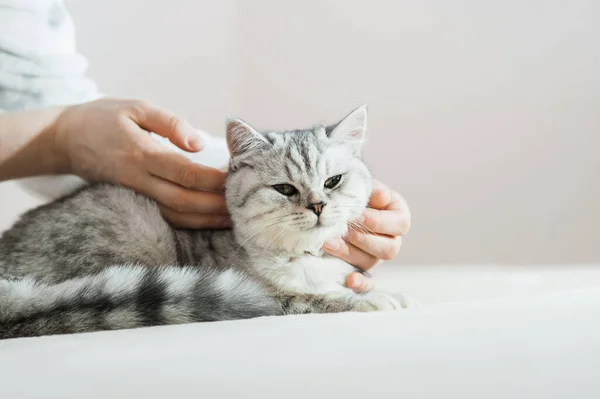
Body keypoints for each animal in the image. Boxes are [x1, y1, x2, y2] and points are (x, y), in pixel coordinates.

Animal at [0, 106, 412, 340]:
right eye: (284, 188)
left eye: (332, 182)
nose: (318, 206)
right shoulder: (273, 297)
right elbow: (322, 300)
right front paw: (377, 299)